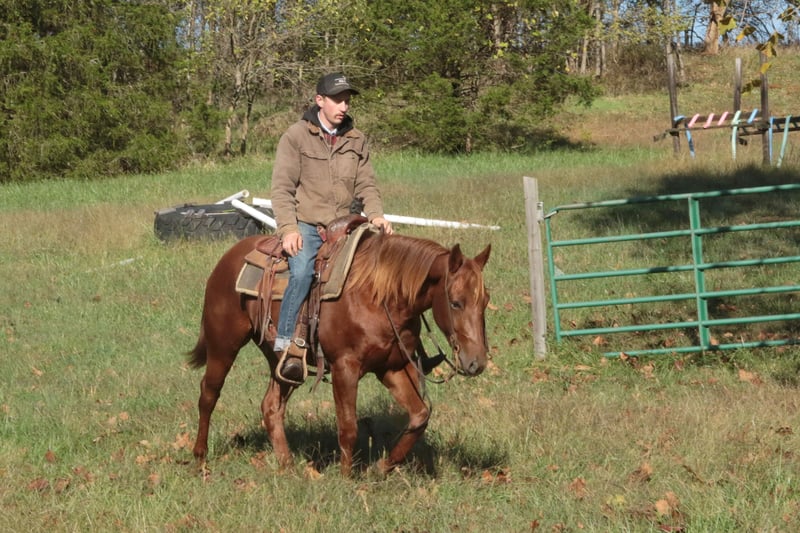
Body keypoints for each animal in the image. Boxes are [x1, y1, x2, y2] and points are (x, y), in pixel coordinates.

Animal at [188, 225, 491, 476]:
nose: (476, 362)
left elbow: (419, 416)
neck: (378, 296)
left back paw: (287, 466)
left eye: (485, 300)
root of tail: (230, 257)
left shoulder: (391, 367)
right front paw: (347, 480)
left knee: (271, 406)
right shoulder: (345, 367)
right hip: (223, 345)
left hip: (281, 361)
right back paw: (200, 458)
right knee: (208, 394)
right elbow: (348, 427)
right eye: (455, 302)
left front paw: (381, 467)